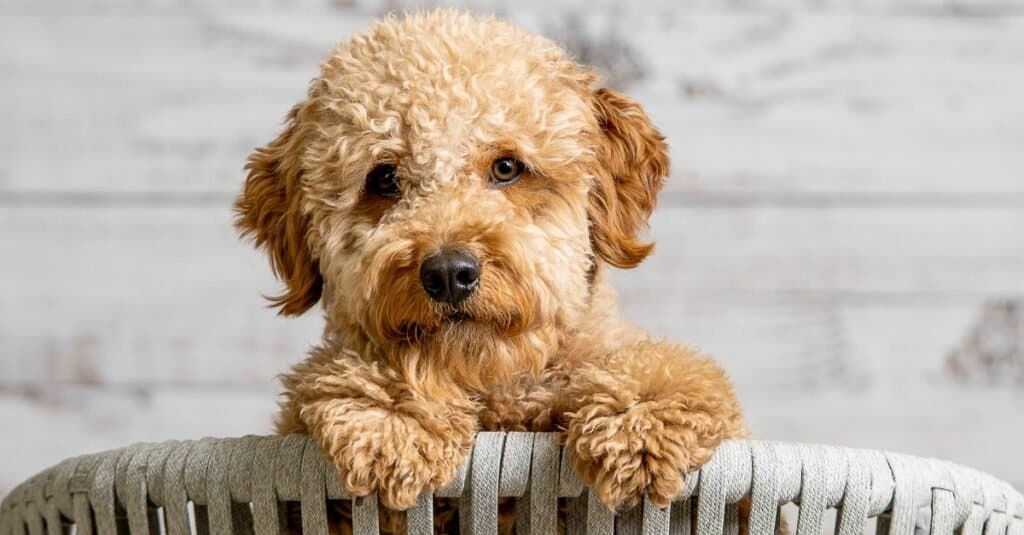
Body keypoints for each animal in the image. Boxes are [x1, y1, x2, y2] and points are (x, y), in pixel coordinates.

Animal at [233, 7, 745, 528]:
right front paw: (391, 417)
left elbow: (669, 370)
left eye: (506, 167)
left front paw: (639, 422)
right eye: (384, 179)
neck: (498, 392)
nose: (448, 274)